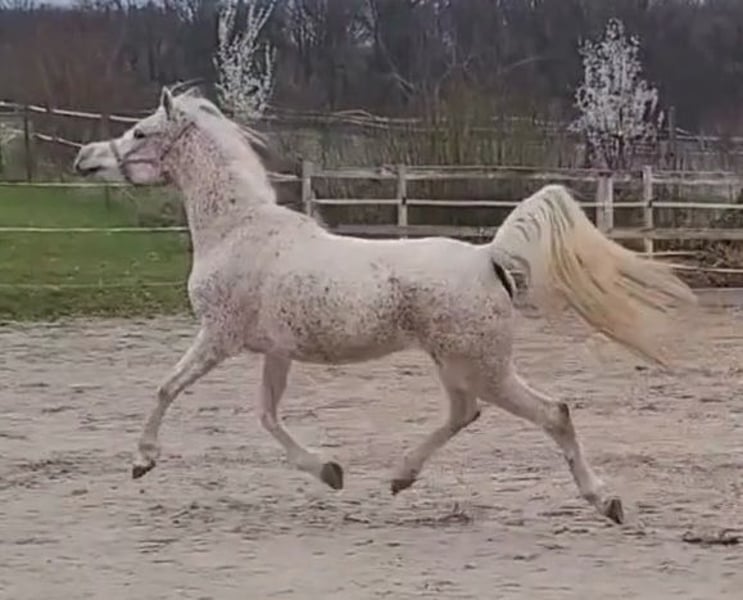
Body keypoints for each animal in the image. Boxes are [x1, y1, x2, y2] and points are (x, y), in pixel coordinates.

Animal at [72, 86, 696, 525]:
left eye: (139, 132)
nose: (84, 159)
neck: (237, 230)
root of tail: (491, 258)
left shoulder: (219, 337)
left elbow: (166, 388)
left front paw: (142, 461)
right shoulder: (276, 351)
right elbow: (268, 416)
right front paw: (329, 472)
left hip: (481, 366)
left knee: (552, 413)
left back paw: (605, 501)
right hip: (457, 365)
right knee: (464, 413)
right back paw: (399, 478)